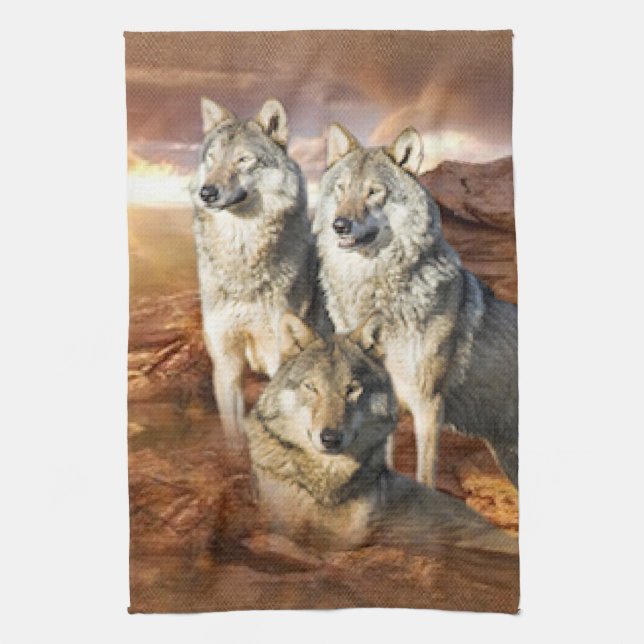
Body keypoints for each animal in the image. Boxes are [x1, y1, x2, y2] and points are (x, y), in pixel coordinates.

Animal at [190, 98, 323, 443]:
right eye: (212, 158)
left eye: (243, 159)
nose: (207, 192)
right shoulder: (227, 364)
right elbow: (233, 433)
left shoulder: (279, 361)